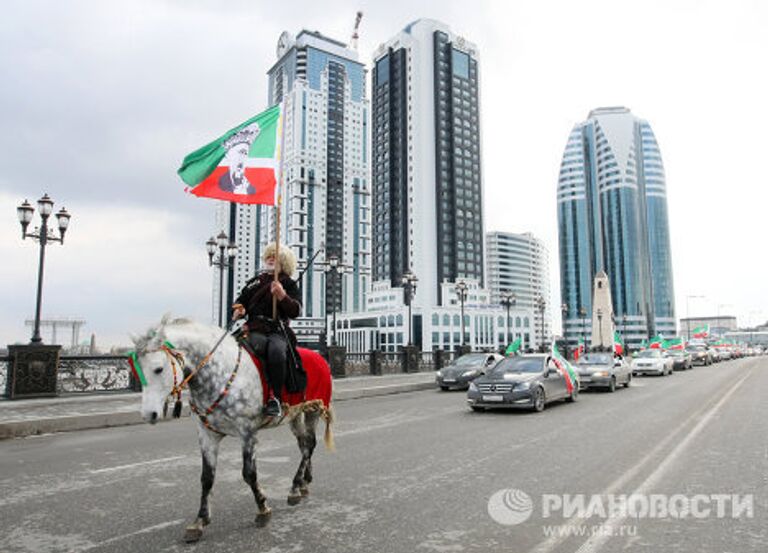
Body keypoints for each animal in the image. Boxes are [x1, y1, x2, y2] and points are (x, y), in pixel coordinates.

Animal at [131, 316, 332, 540]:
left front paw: (263, 509)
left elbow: (249, 473)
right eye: (138, 370)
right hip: (295, 414)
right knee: (304, 443)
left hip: (314, 408)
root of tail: (319, 358)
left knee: (309, 445)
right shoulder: (207, 435)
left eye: (158, 369)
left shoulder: (248, 432)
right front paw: (199, 520)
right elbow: (207, 478)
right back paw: (303, 483)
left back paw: (296, 486)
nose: (148, 414)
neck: (219, 375)